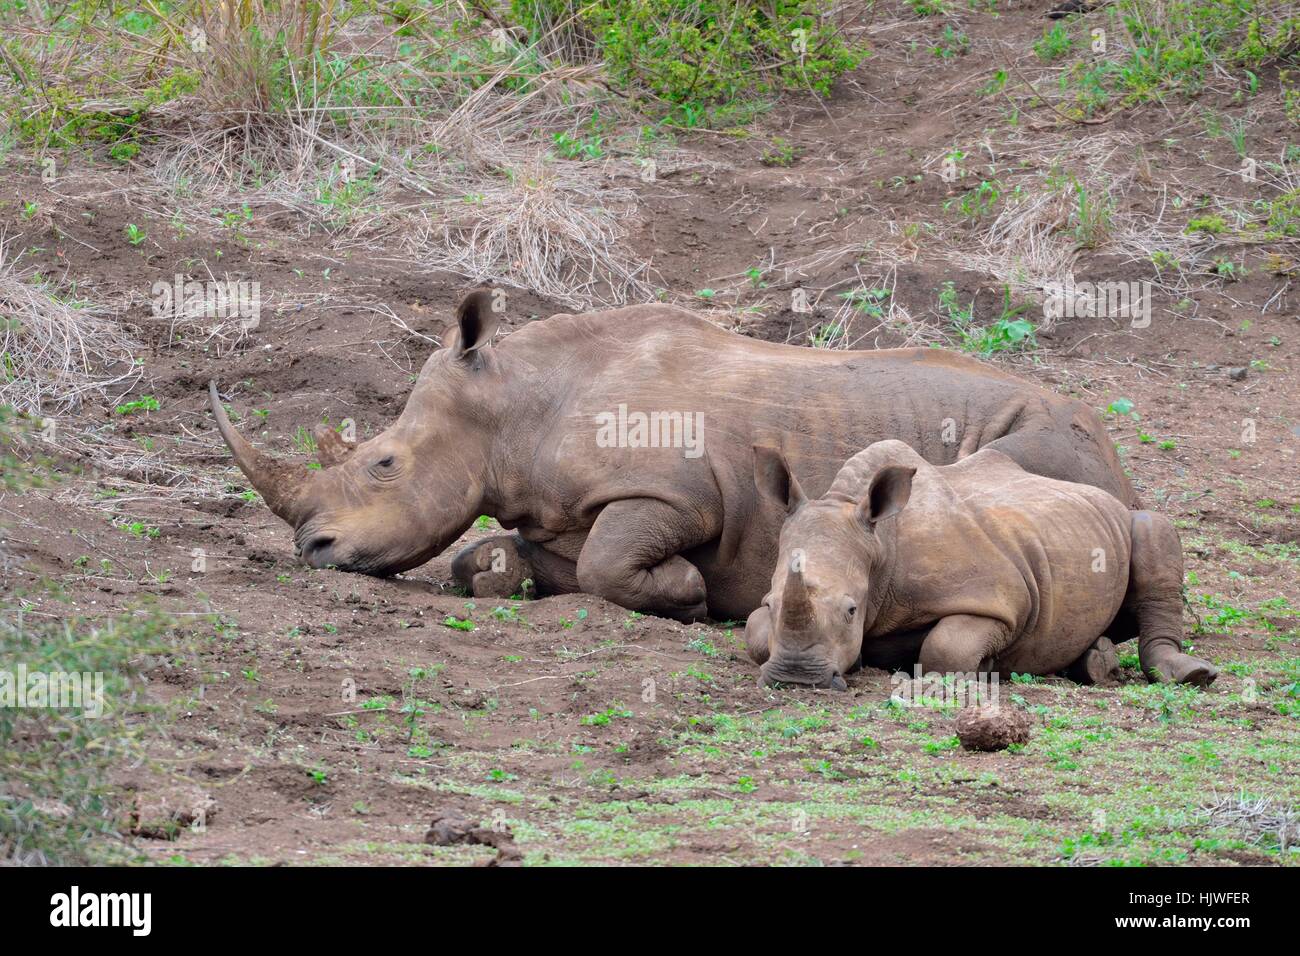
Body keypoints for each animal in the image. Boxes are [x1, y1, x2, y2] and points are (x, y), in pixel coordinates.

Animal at [210, 287, 1138, 624]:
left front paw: (690, 592)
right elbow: (502, 557)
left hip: (1052, 436)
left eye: (384, 465)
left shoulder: (678, 493)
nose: (310, 548)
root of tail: (1122, 462)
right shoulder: (551, 511)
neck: (518, 402)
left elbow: (609, 561)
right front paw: (504, 574)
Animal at [748, 437, 1211, 691]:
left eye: (850, 611)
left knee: (1154, 532)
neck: (880, 543)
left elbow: (946, 647)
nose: (796, 678)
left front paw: (985, 668)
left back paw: (1191, 674)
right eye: (772, 602)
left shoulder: (1003, 601)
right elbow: (755, 634)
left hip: (1128, 519)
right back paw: (1095, 662)